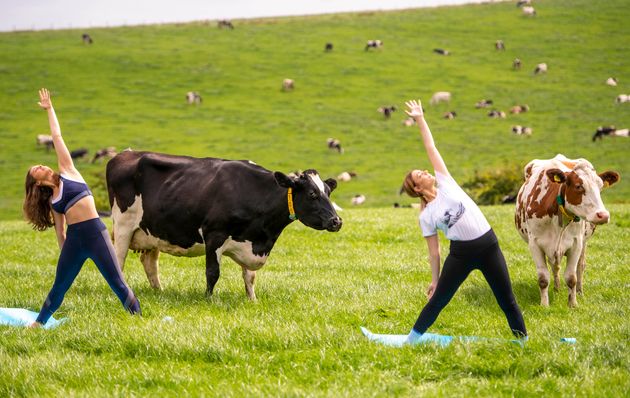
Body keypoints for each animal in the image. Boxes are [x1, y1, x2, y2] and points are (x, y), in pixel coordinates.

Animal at [108, 152, 346, 298]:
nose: (336, 221)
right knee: (118, 260)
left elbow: (250, 276)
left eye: (328, 192)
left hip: (152, 232)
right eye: (312, 194)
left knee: (149, 262)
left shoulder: (250, 238)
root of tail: (123, 155)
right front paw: (208, 298)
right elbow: (212, 272)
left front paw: (252, 300)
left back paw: (160, 291)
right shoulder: (214, 234)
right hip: (123, 225)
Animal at [520, 155, 624, 308]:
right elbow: (543, 279)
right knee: (555, 267)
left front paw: (573, 304)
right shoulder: (534, 244)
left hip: (584, 242)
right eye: (578, 186)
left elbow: (571, 277)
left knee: (580, 266)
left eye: (600, 187)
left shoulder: (576, 244)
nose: (603, 215)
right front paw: (544, 305)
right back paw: (556, 288)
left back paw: (579, 292)